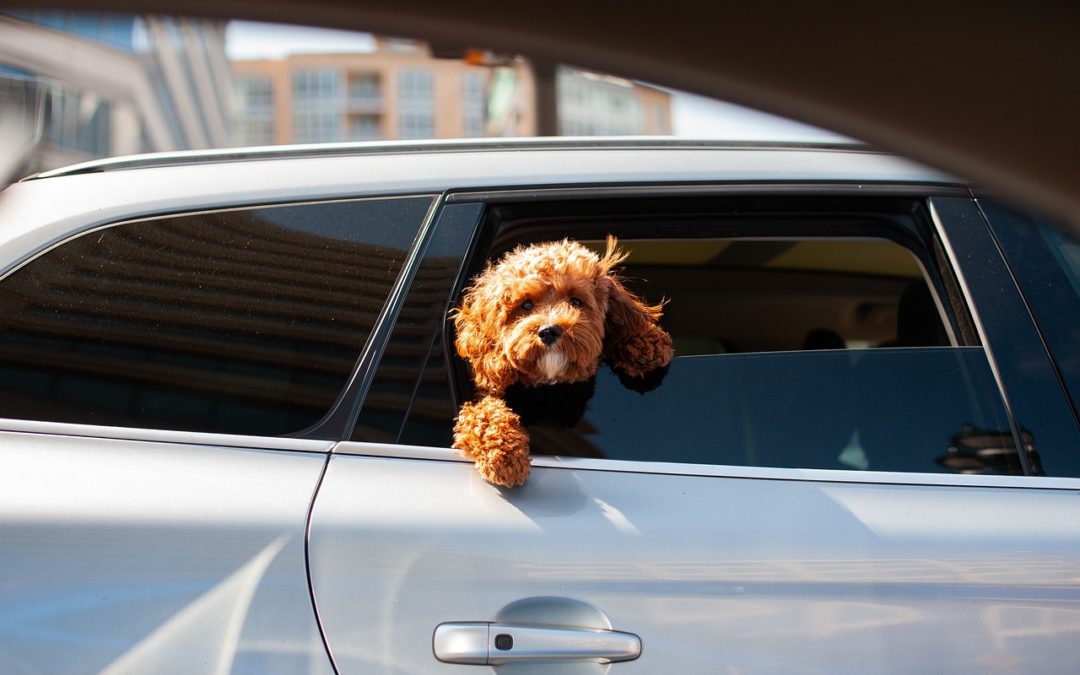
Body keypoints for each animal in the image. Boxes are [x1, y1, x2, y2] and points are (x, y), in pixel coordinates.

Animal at [451, 235, 669, 483]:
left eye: (575, 301)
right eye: (526, 304)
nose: (548, 331)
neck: (550, 386)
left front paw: (647, 342)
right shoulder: (483, 398)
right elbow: (483, 415)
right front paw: (505, 455)